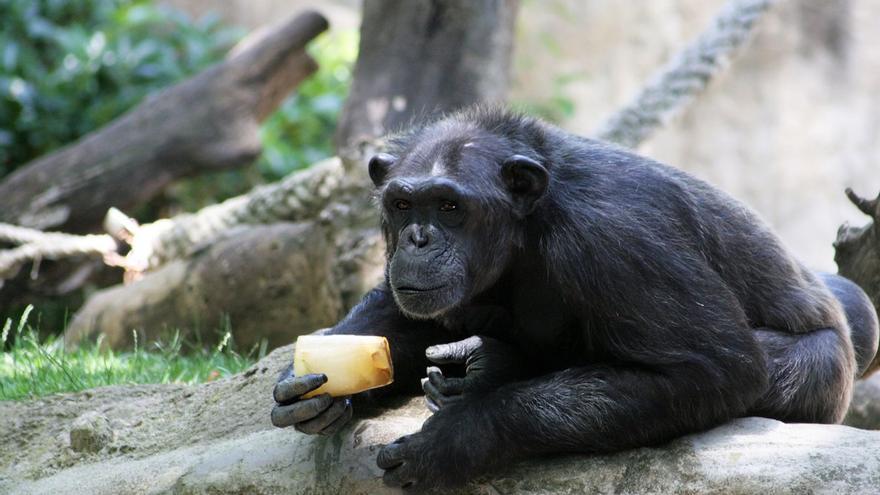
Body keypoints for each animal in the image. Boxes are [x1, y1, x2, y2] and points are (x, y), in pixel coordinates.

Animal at [270, 106, 880, 490]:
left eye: (449, 206)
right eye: (402, 205)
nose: (418, 238)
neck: (529, 223)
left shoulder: (618, 238)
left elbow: (711, 368)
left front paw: (458, 439)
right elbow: (403, 313)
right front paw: (311, 387)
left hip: (822, 373)